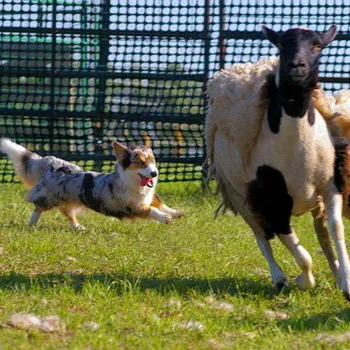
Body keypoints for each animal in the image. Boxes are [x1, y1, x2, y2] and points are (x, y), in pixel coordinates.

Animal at [0, 138, 185, 231]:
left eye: (152, 160)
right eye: (140, 163)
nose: (154, 174)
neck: (134, 184)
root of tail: (52, 163)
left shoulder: (150, 197)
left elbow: (161, 204)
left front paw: (176, 213)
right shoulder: (134, 207)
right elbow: (152, 210)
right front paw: (165, 218)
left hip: (68, 202)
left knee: (69, 214)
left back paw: (78, 227)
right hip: (48, 198)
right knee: (37, 207)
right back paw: (32, 224)